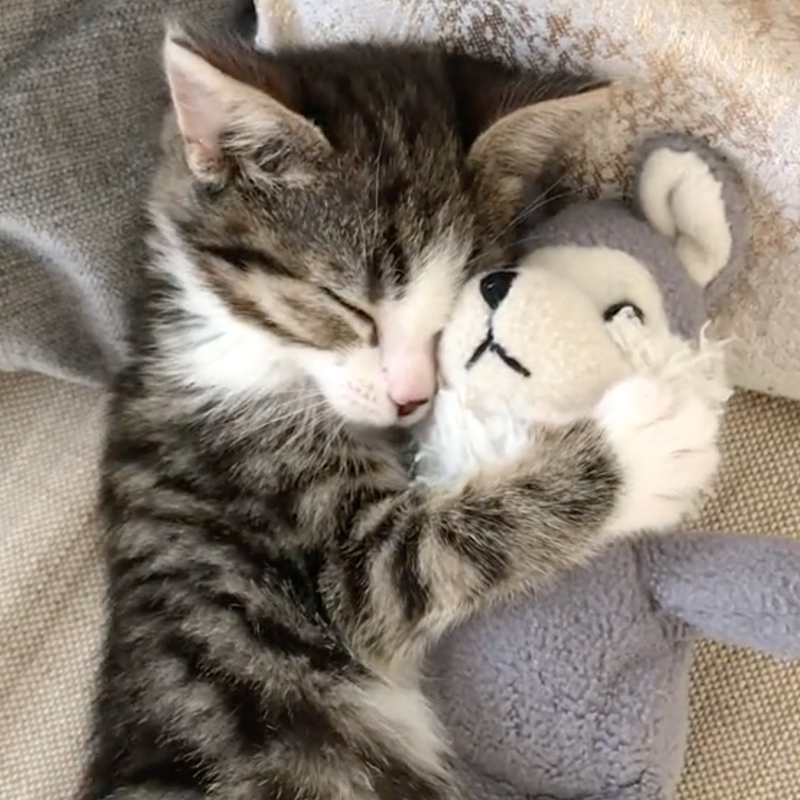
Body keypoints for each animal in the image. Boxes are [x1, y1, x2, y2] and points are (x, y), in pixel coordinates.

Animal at [83, 23, 720, 800]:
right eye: (348, 307)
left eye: (459, 302)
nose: (411, 395)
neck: (235, 339)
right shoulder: (309, 542)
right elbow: (426, 553)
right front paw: (645, 445)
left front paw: (692, 193)